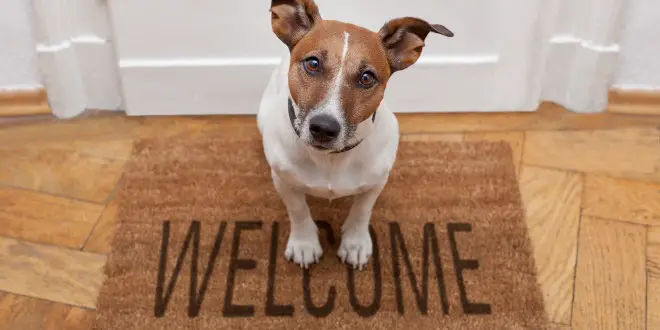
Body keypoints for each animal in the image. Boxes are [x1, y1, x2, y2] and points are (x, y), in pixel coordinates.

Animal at [258, 0, 454, 268]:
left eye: (366, 77)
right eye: (313, 64)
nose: (324, 128)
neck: (331, 159)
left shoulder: (376, 182)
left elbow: (362, 211)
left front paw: (355, 243)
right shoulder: (284, 181)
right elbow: (298, 210)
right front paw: (304, 243)